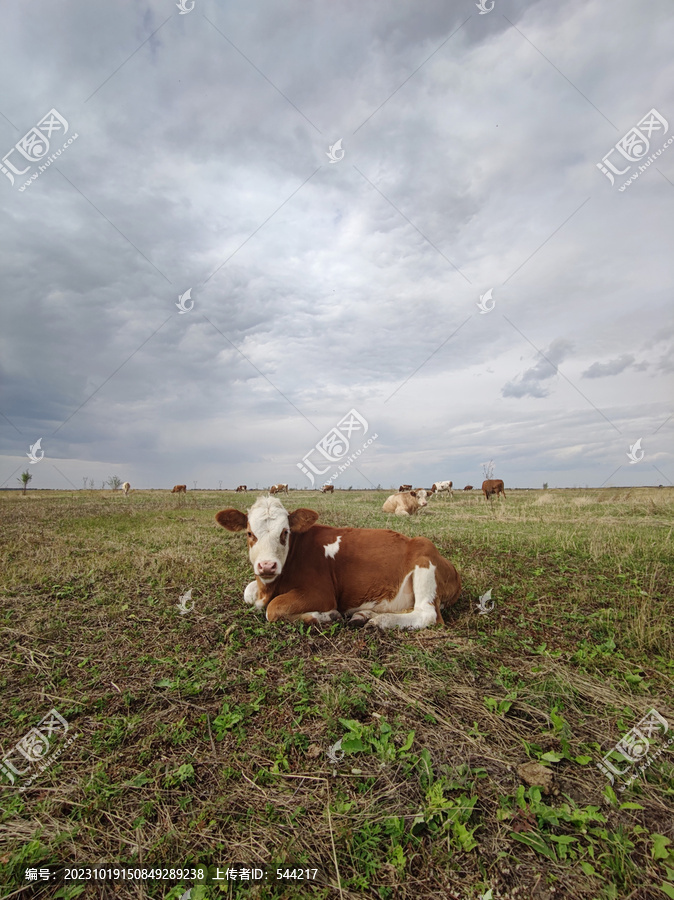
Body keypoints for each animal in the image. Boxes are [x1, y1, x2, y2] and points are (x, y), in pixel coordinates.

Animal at [218, 496, 460, 628]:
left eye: (285, 532)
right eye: (249, 533)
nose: (267, 566)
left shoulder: (321, 593)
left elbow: (273, 609)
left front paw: (324, 616)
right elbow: (248, 593)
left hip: (424, 564)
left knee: (427, 614)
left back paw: (379, 622)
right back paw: (365, 615)